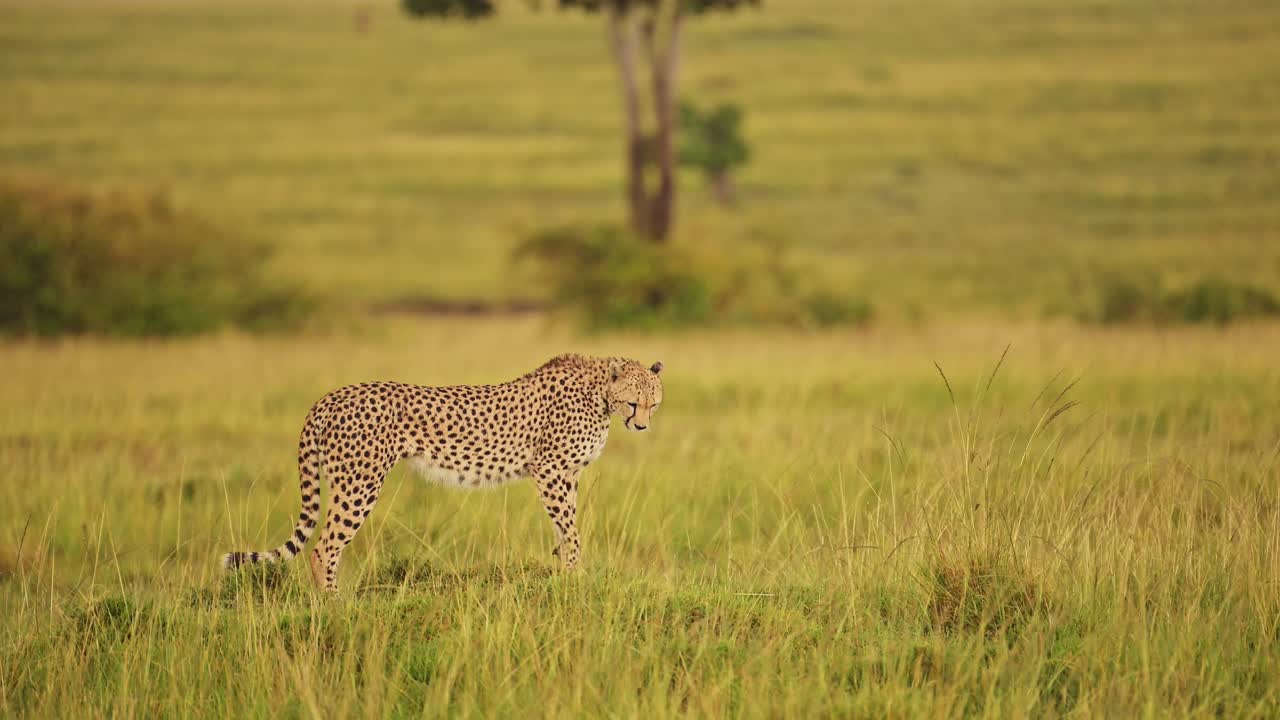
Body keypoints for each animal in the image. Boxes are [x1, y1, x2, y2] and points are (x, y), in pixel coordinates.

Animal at [222, 353, 664, 593]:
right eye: (633, 403)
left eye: (654, 404)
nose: (643, 426)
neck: (599, 393)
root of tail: (331, 396)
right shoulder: (551, 470)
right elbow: (572, 531)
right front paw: (573, 579)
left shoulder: (567, 475)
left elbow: (564, 529)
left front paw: (565, 573)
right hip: (359, 484)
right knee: (323, 548)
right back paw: (334, 606)